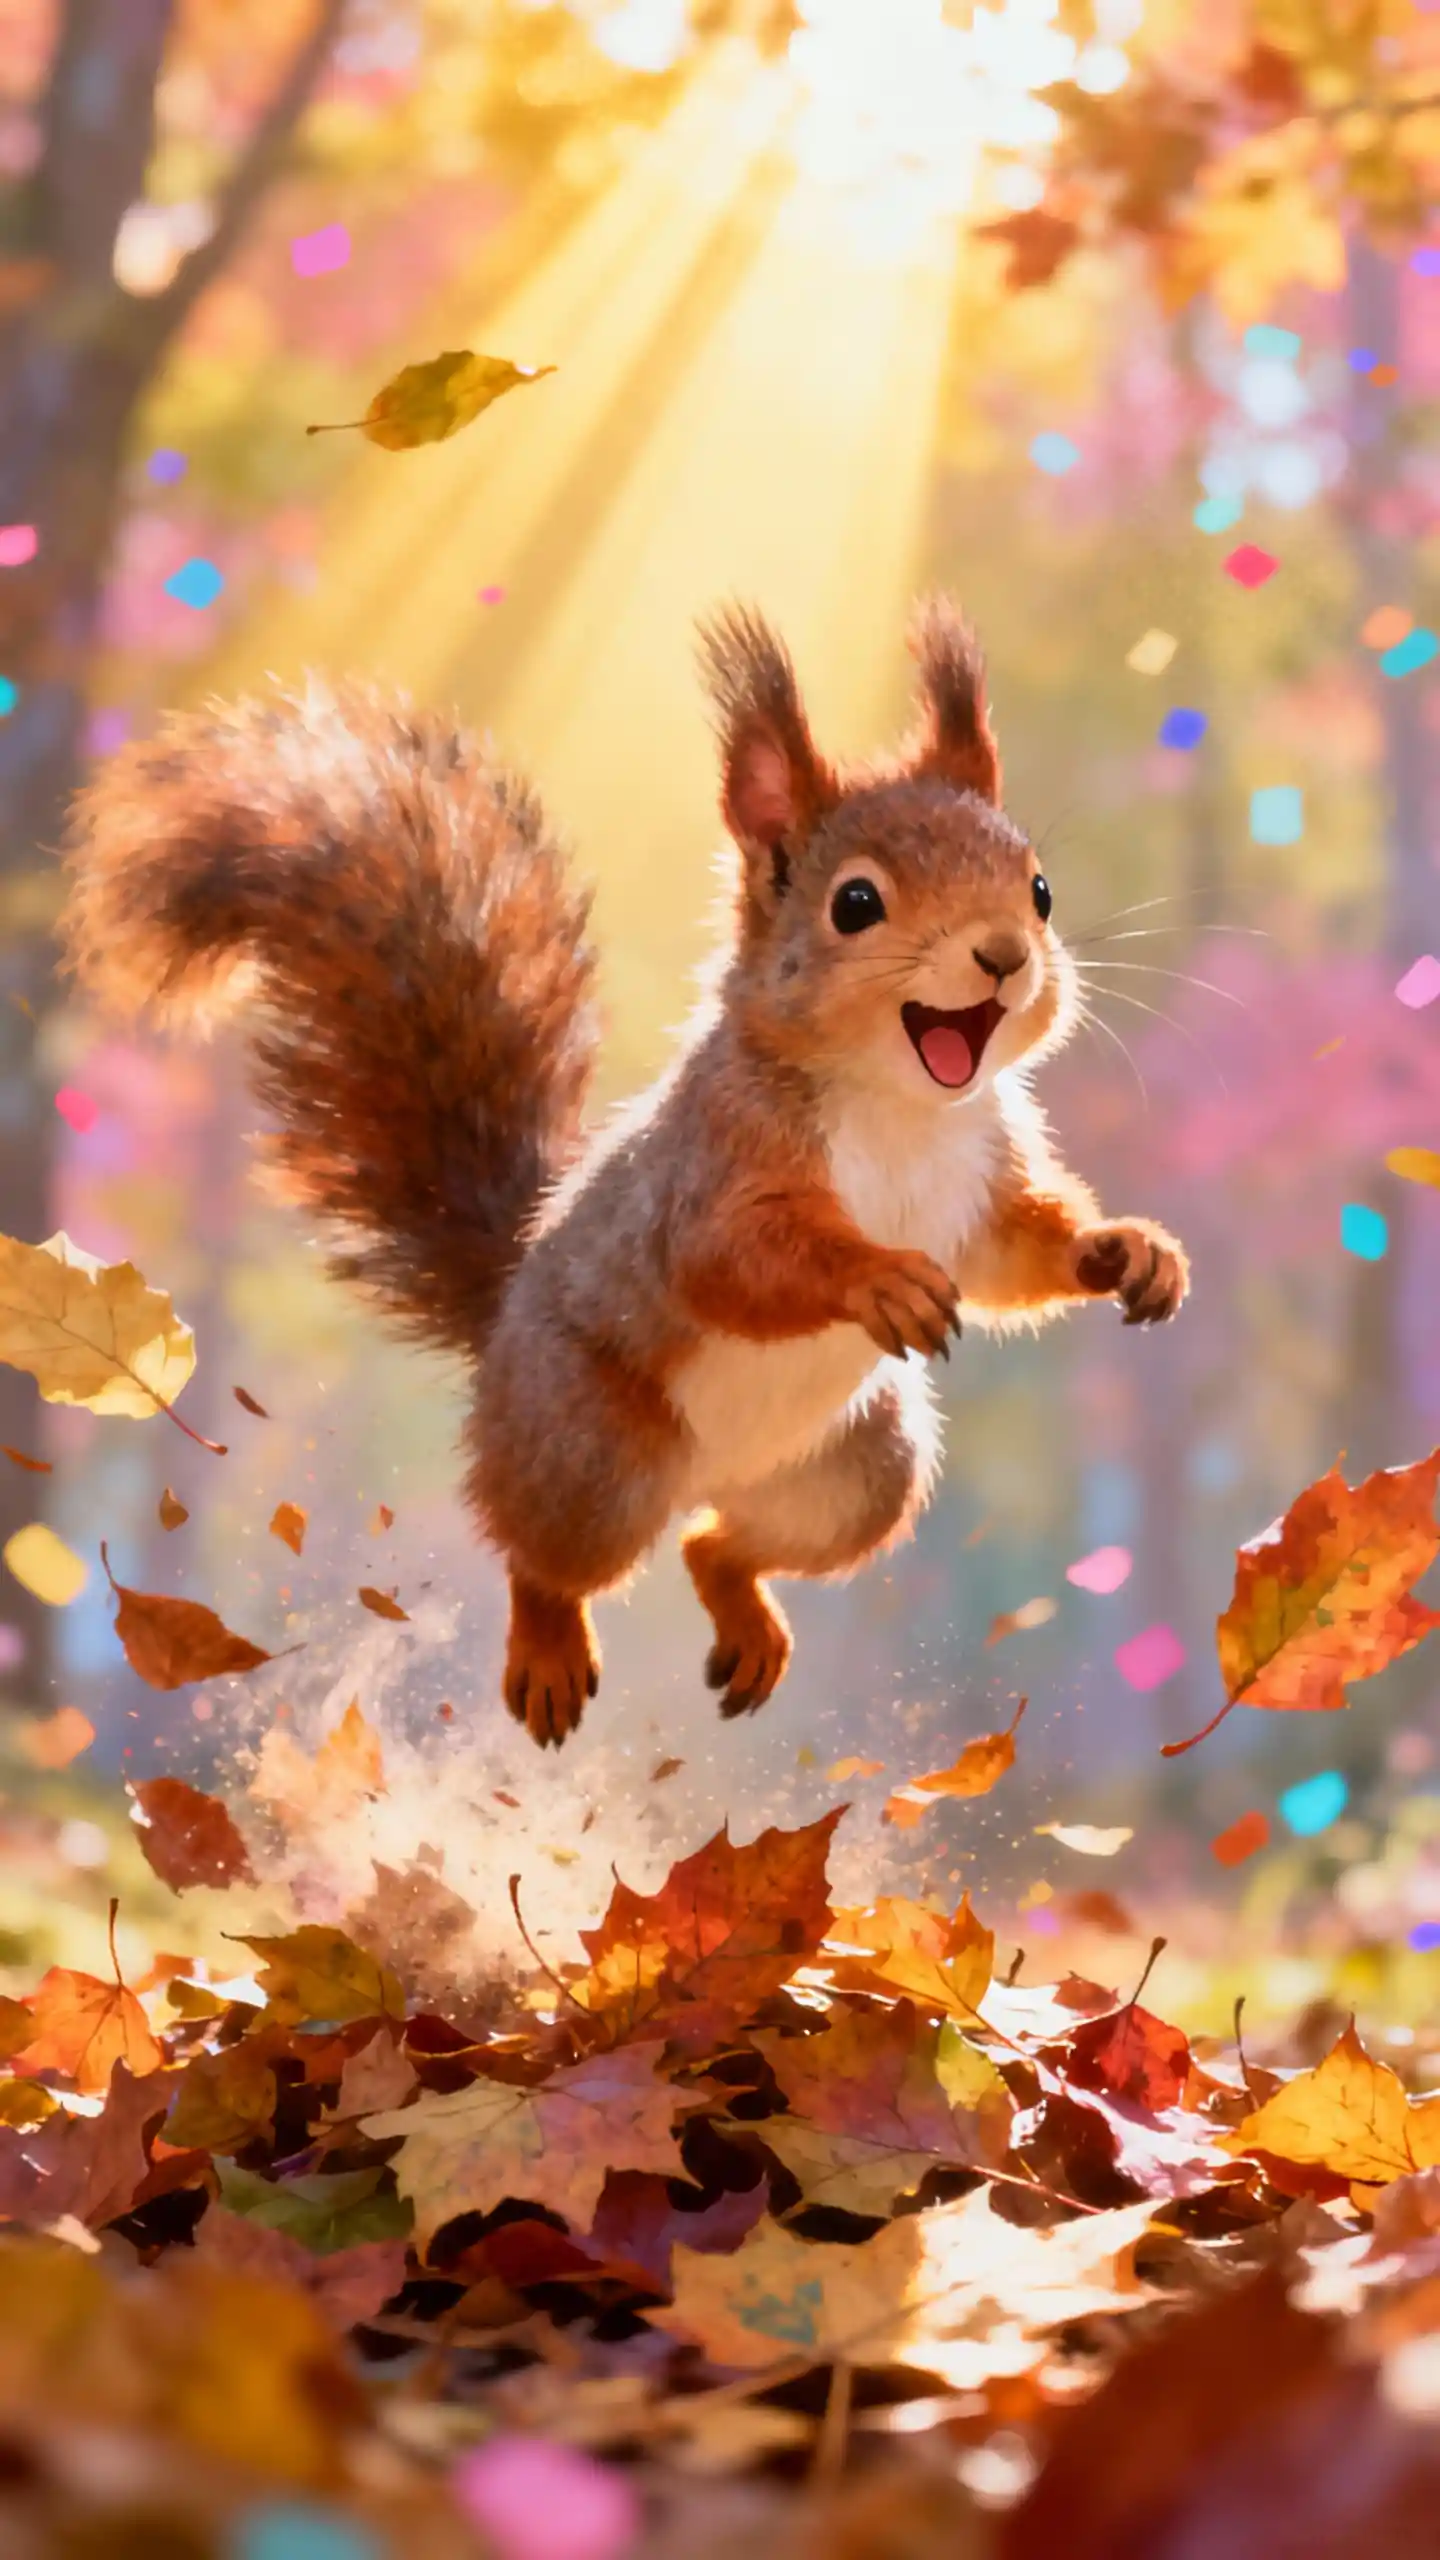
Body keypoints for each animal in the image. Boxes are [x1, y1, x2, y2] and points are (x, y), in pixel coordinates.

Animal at [61, 598, 1188, 1748]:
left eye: (1039, 889)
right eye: (856, 903)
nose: (1005, 954)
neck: (903, 1108)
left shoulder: (986, 1175)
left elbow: (1018, 1254)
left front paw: (1127, 1250)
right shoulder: (713, 1167)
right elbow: (735, 1259)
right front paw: (878, 1276)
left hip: (862, 1471)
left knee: (715, 1543)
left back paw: (742, 1608)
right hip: (593, 1452)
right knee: (544, 1557)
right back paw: (550, 1652)